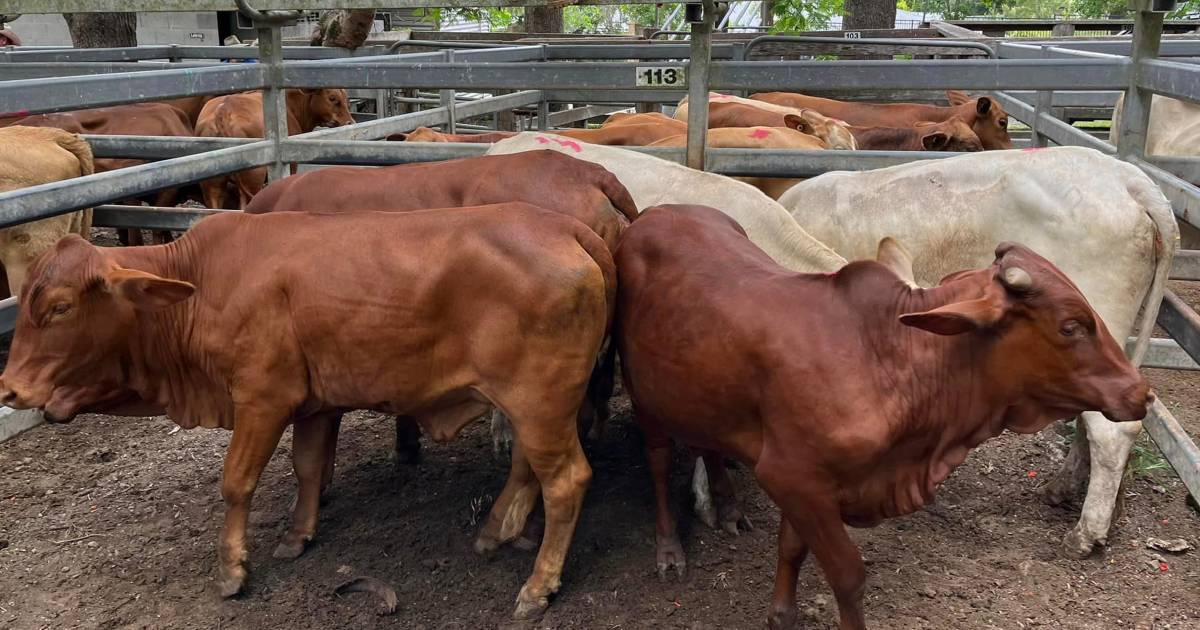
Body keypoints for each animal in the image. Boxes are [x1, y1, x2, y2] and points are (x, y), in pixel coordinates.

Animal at [0, 202, 614, 619]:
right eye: (25, 300)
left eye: (60, 307)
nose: (10, 389)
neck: (201, 286)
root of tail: (567, 227)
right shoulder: (315, 404)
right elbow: (310, 468)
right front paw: (299, 535)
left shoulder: (262, 398)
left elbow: (237, 483)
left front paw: (232, 569)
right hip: (532, 405)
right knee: (529, 467)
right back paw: (494, 531)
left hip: (539, 401)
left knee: (567, 480)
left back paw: (538, 586)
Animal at [614, 204, 1147, 624]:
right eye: (1071, 325)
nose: (1139, 391)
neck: (890, 359)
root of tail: (655, 213)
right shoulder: (793, 477)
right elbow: (848, 575)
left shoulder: (804, 483)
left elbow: (791, 549)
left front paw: (781, 613)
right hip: (645, 395)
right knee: (659, 460)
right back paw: (669, 551)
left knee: (707, 441)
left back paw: (728, 508)